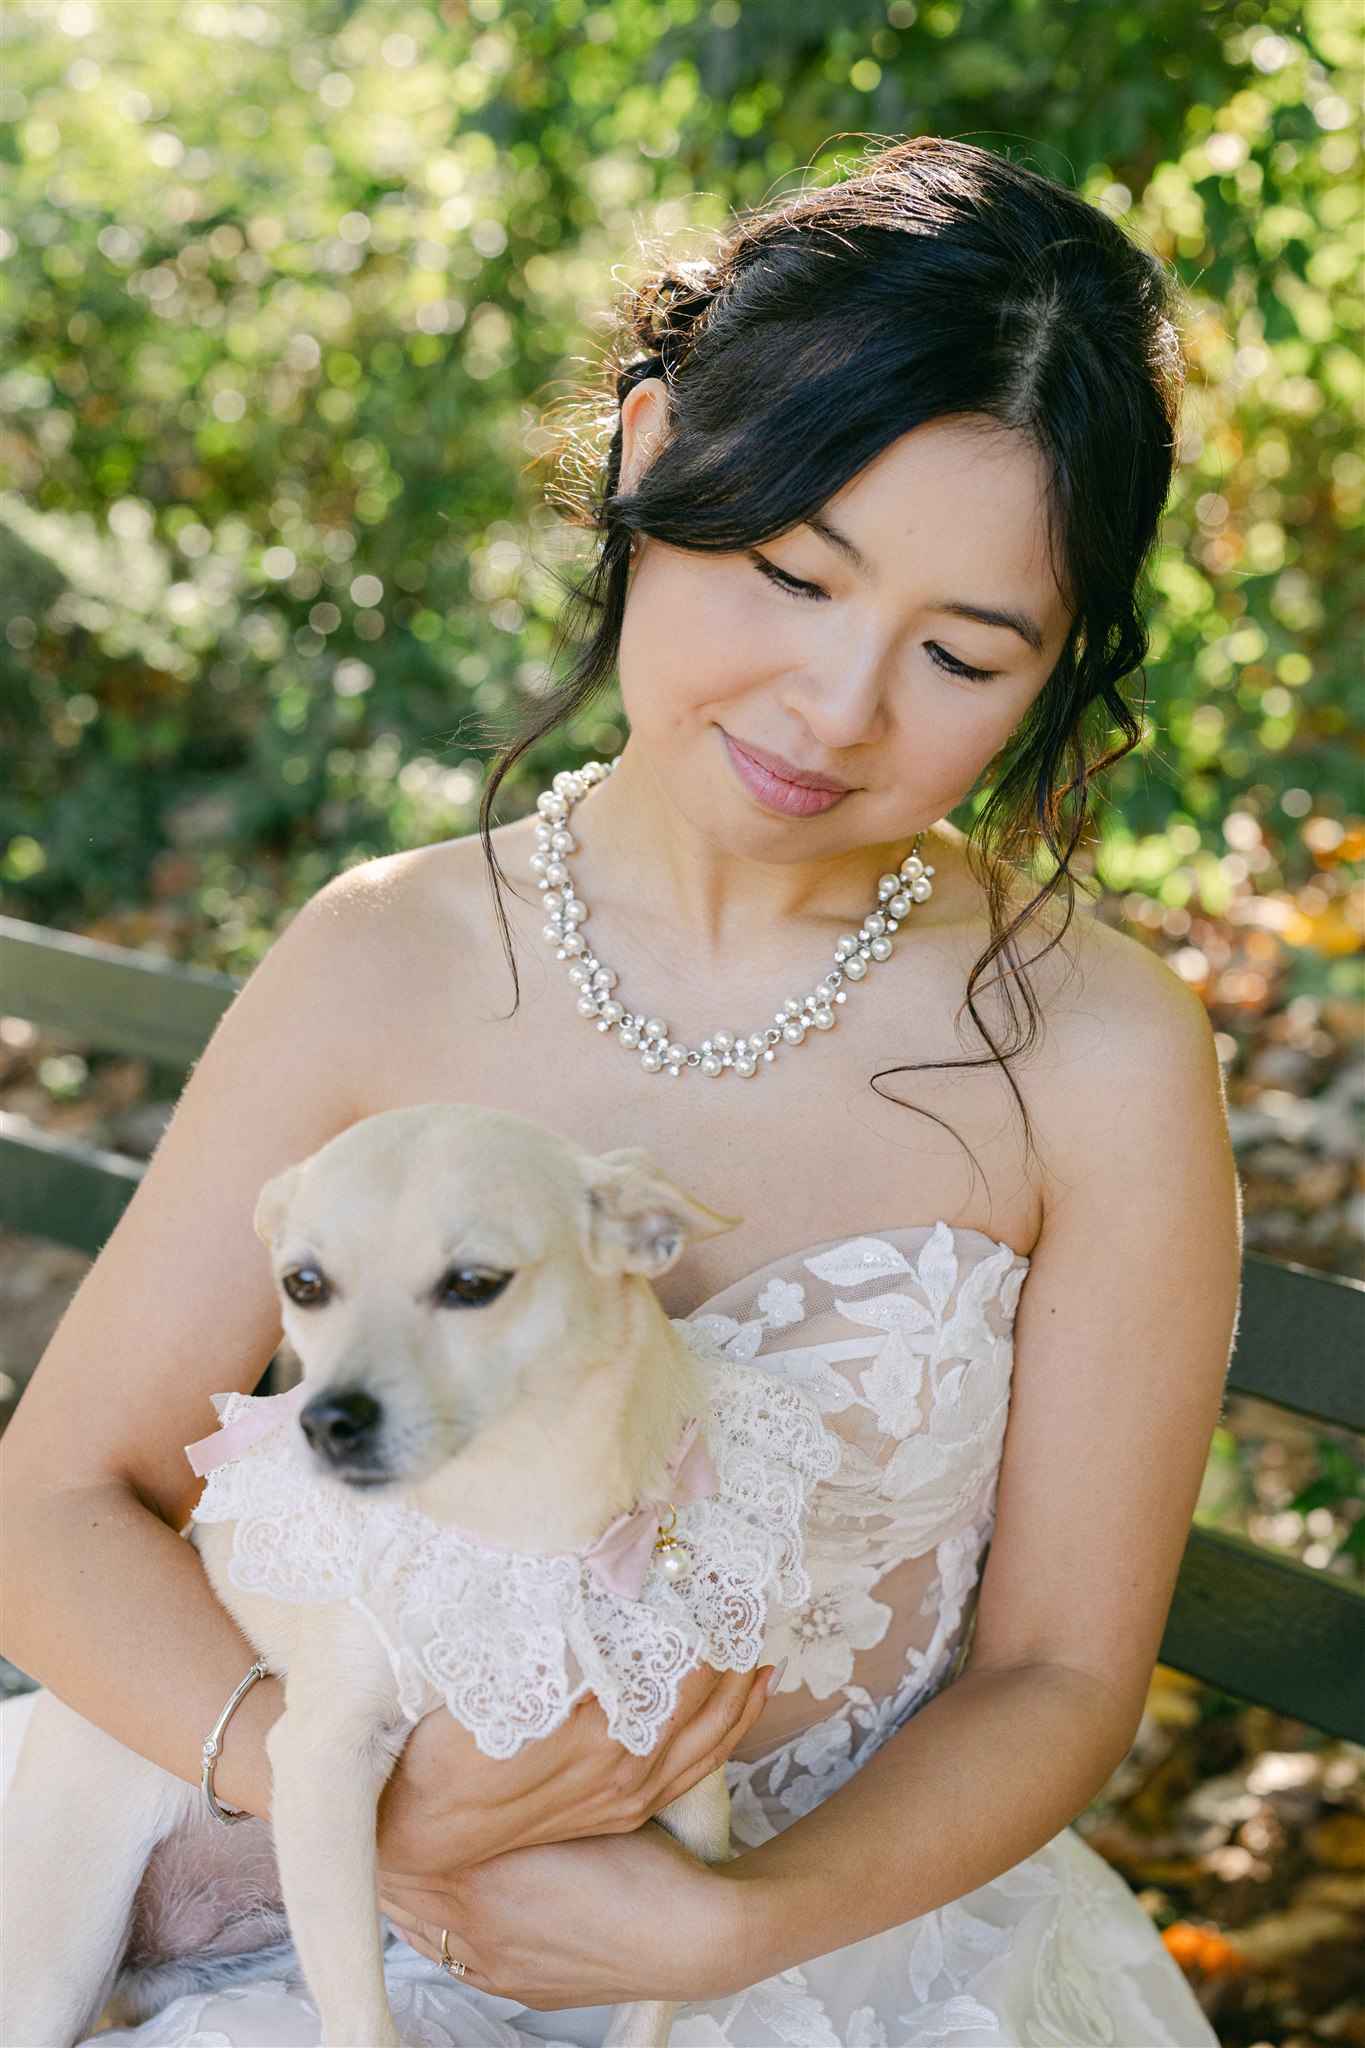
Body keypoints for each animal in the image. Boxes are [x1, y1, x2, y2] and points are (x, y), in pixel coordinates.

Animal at [0, 1105, 822, 2048]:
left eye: (472, 1284)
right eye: (304, 1285)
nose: (325, 1419)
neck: (520, 1528)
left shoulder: (689, 1794)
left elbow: (655, 1994)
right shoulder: (326, 1762)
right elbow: (363, 2018)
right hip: (60, 1965)